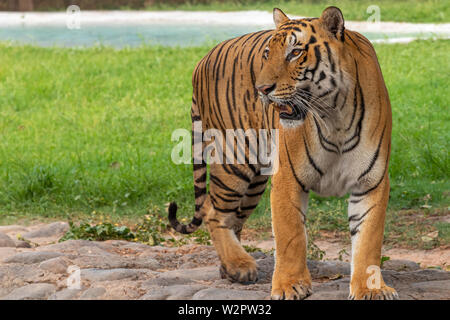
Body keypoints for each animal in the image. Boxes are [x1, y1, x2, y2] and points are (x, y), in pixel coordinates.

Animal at [169, 5, 398, 300]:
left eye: (295, 52)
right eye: (267, 54)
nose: (262, 89)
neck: (334, 116)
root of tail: (201, 59)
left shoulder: (371, 181)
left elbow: (369, 240)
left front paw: (371, 288)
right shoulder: (288, 179)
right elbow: (291, 236)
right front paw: (290, 285)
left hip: (254, 181)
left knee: (233, 219)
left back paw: (229, 267)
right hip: (235, 160)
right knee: (213, 212)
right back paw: (239, 265)